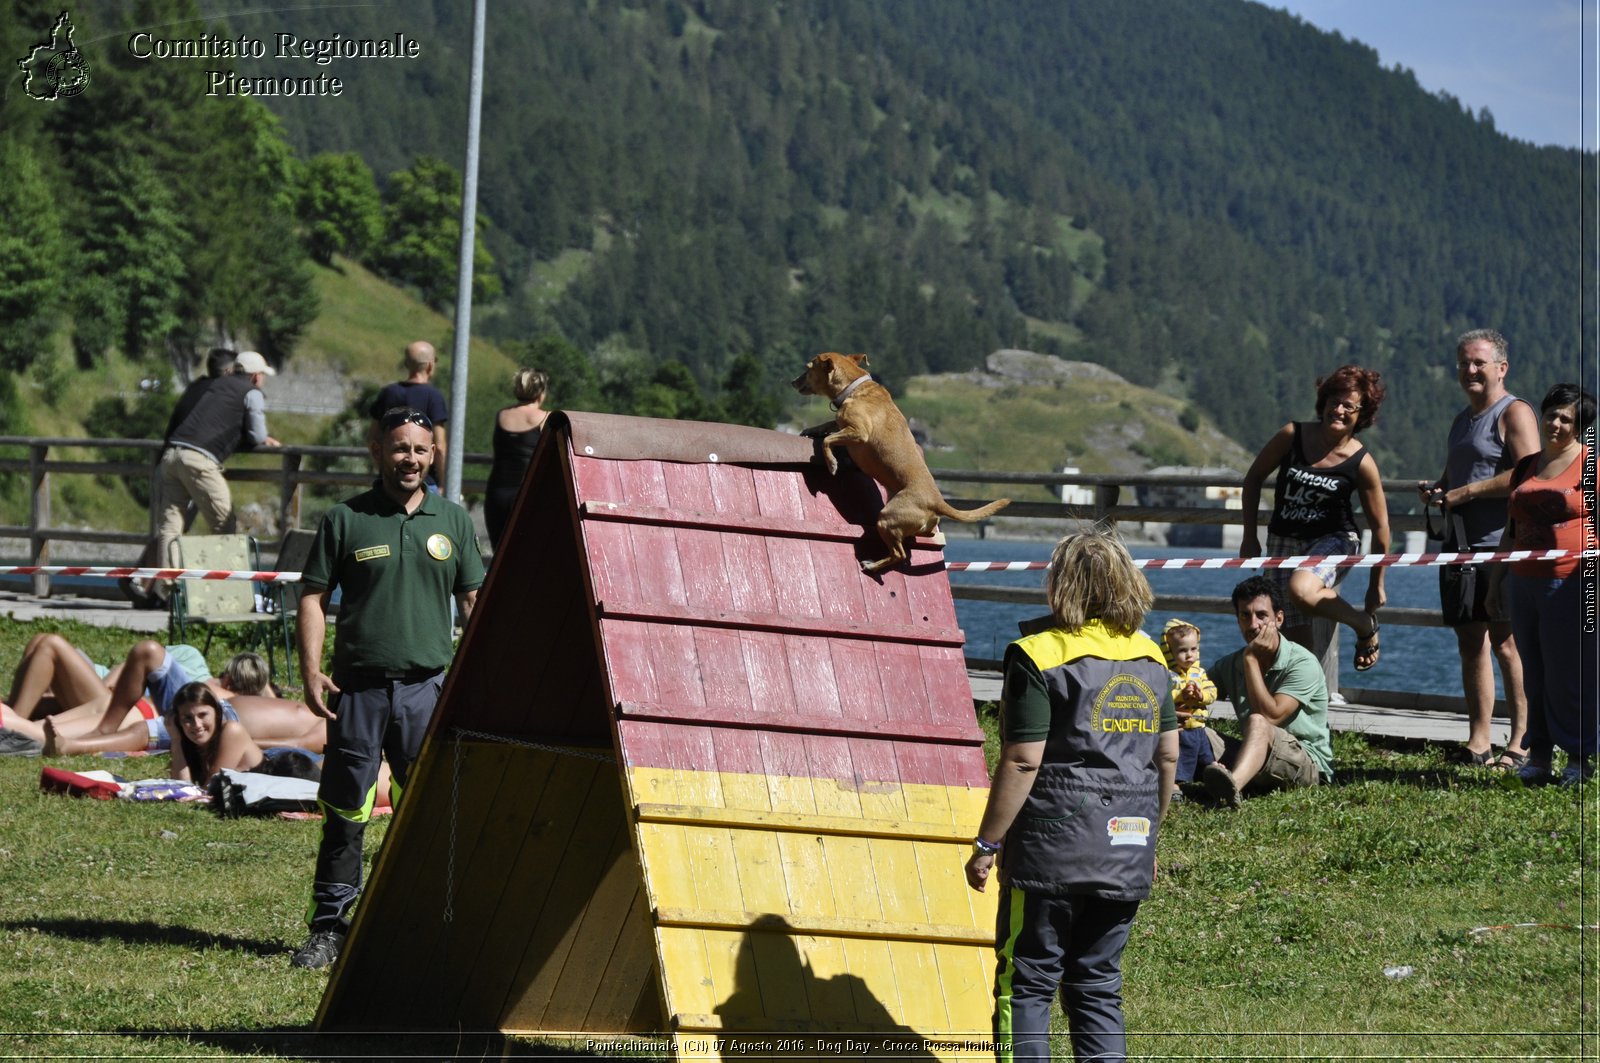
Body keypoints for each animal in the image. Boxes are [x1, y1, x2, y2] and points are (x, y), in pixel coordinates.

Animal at [790, 352, 1004, 573]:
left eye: (808, 368)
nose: (793, 381)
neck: (854, 388)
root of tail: (937, 501)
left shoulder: (859, 432)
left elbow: (828, 439)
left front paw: (831, 462)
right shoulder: (843, 423)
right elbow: (829, 424)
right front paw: (810, 430)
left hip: (886, 518)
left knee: (899, 554)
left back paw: (872, 565)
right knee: (924, 535)